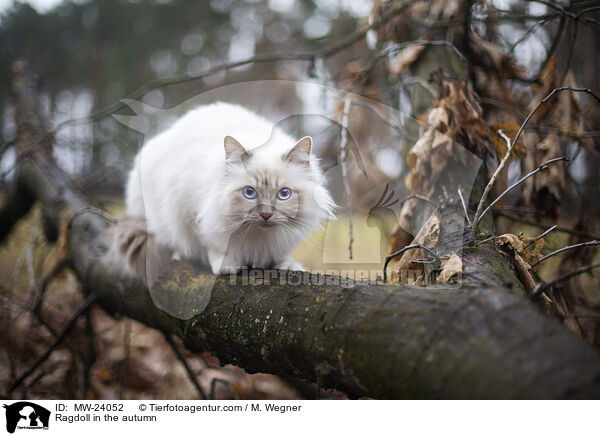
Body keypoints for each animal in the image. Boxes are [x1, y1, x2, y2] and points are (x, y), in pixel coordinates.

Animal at [110, 102, 336, 280]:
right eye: (249, 192)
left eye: (284, 194)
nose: (265, 215)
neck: (257, 237)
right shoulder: (190, 212)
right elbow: (211, 244)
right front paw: (227, 265)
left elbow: (281, 253)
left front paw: (287, 265)